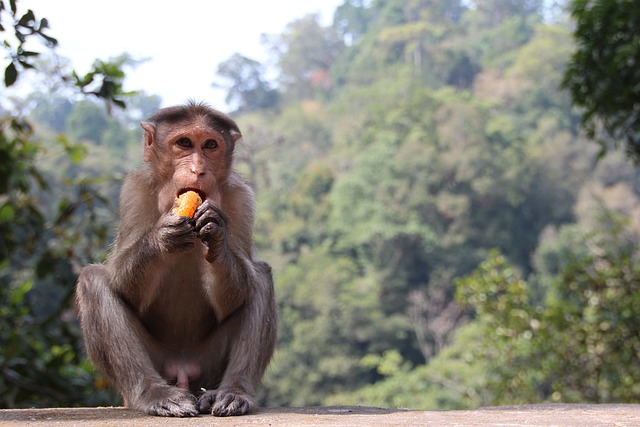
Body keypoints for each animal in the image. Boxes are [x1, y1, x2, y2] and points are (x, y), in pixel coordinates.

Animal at [75, 101, 276, 417]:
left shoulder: (242, 198)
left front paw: (217, 235)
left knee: (260, 278)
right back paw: (154, 394)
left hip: (208, 366)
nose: (198, 170)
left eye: (210, 145)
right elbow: (123, 285)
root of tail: (183, 370)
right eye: (184, 143)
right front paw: (162, 238)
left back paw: (232, 392)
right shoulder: (135, 190)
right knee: (92, 280)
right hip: (160, 364)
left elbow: (238, 293)